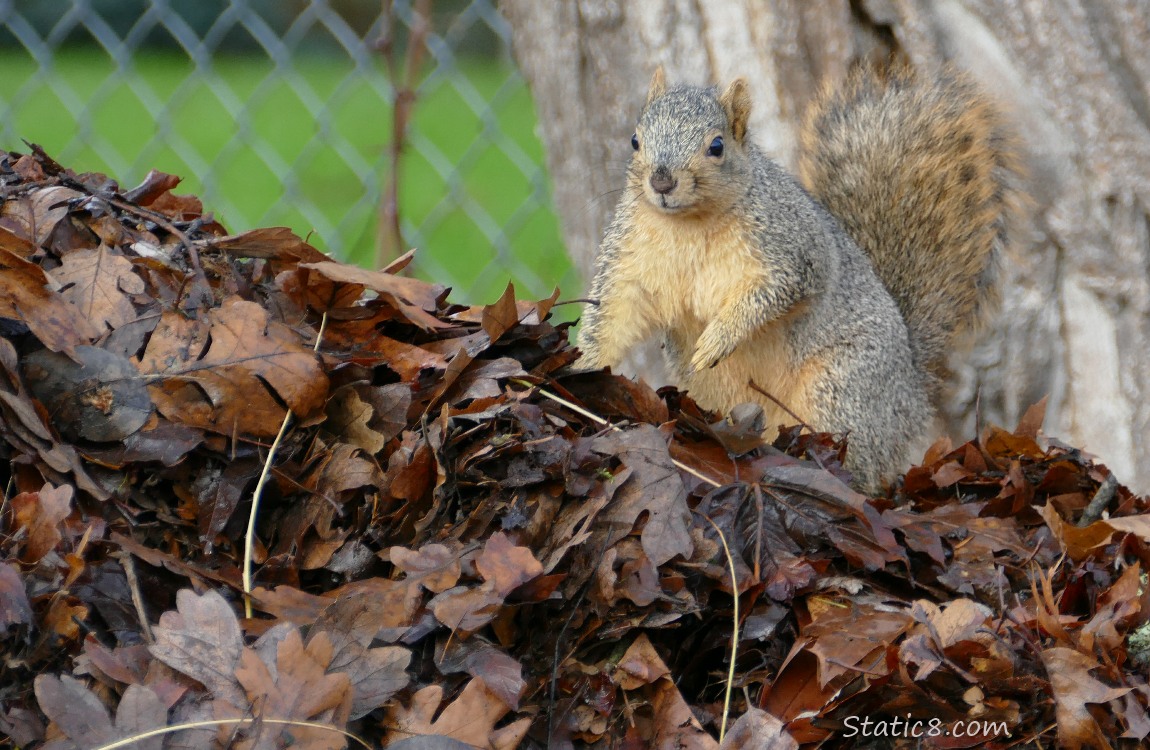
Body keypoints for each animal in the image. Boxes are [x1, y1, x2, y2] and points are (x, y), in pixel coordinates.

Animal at [575, 61, 1025, 490]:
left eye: (716, 146)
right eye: (635, 140)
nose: (662, 180)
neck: (688, 224)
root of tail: (912, 395)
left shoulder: (793, 253)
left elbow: (770, 295)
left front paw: (719, 338)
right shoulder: (631, 262)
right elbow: (614, 313)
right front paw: (580, 367)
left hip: (841, 388)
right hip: (716, 392)